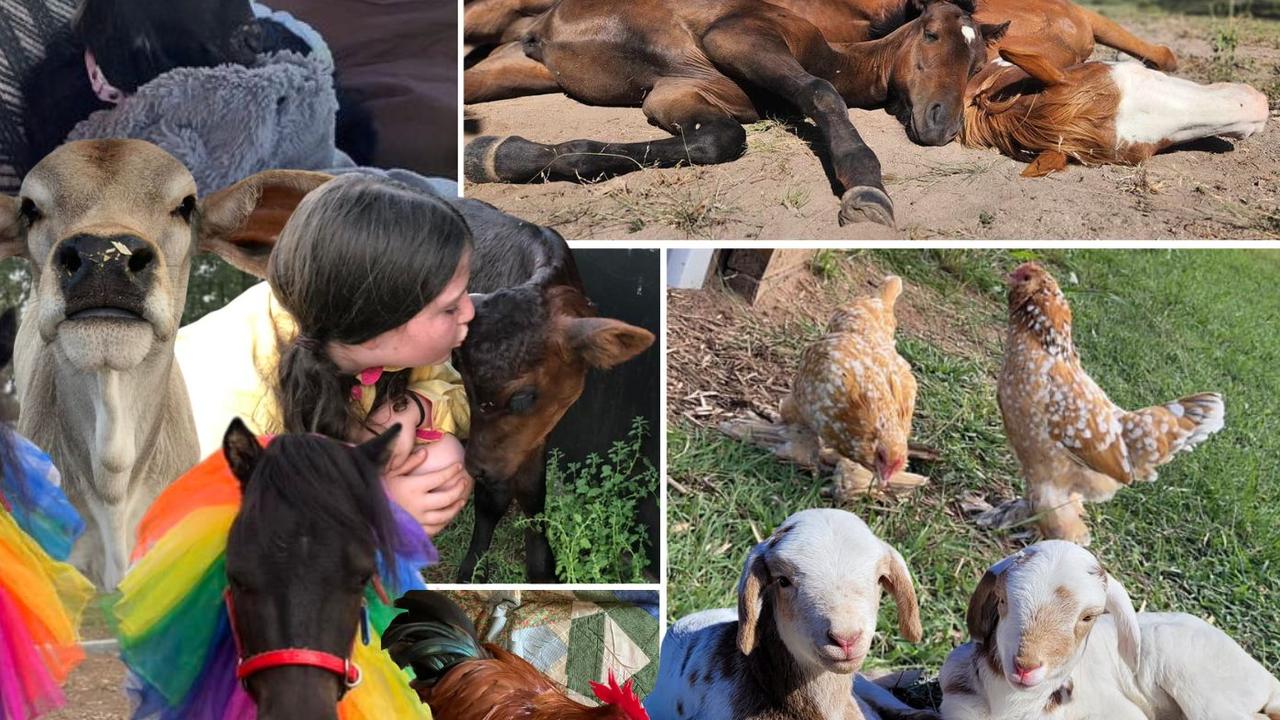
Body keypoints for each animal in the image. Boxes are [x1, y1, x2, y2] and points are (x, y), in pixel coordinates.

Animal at [465, 0, 1003, 225]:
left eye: (977, 63)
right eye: (931, 34)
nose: (943, 124)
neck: (831, 51)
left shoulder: (677, 92)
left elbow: (721, 138)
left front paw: (505, 154)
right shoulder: (738, 36)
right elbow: (821, 91)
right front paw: (867, 189)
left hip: (518, 67)